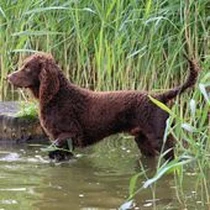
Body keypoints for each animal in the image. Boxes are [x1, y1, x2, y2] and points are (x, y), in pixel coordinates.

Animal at [7, 53, 199, 161]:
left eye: (27, 68)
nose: (8, 77)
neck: (57, 95)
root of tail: (159, 96)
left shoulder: (70, 133)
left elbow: (54, 147)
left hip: (160, 138)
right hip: (143, 140)